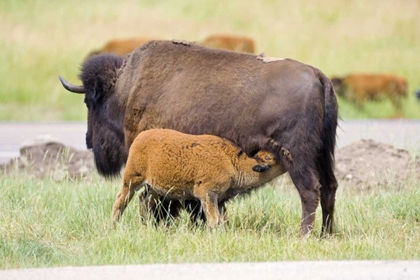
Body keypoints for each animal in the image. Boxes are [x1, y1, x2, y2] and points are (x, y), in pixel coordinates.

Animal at [111, 129, 284, 228]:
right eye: (270, 157)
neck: (232, 161)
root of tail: (140, 137)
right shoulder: (207, 194)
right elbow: (214, 220)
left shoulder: (217, 199)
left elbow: (221, 220)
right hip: (132, 180)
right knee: (121, 200)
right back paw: (113, 225)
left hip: (154, 187)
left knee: (144, 200)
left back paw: (146, 226)